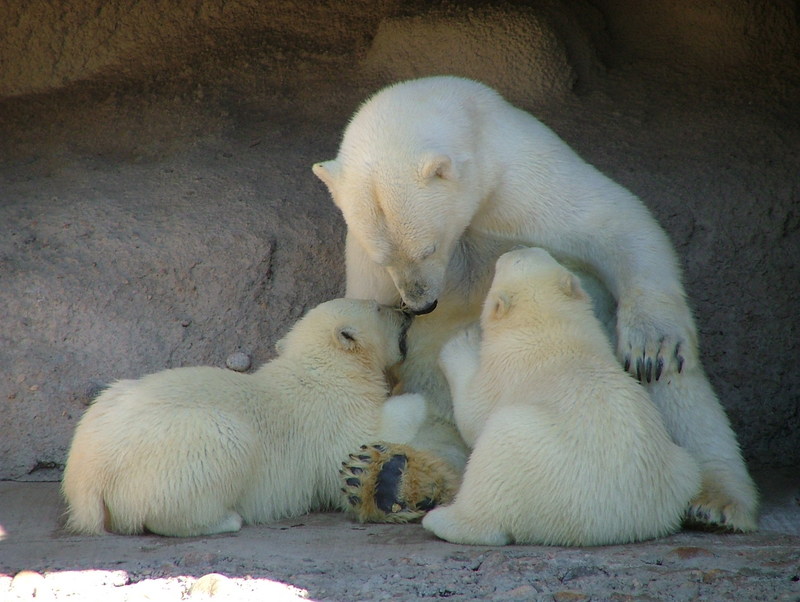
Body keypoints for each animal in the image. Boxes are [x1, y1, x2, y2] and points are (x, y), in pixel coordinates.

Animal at [62, 298, 432, 536]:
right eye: (379, 307)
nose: (406, 312)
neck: (323, 368)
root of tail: (86, 479)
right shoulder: (330, 412)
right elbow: (358, 443)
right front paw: (416, 399)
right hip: (173, 452)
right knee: (221, 445)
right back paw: (225, 520)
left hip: (110, 401)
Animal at [422, 246, 704, 548]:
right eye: (541, 253)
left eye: (506, 263)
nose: (518, 247)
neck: (549, 331)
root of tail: (619, 524)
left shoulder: (506, 370)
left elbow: (474, 415)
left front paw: (460, 342)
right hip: (679, 469)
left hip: (529, 464)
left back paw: (441, 519)